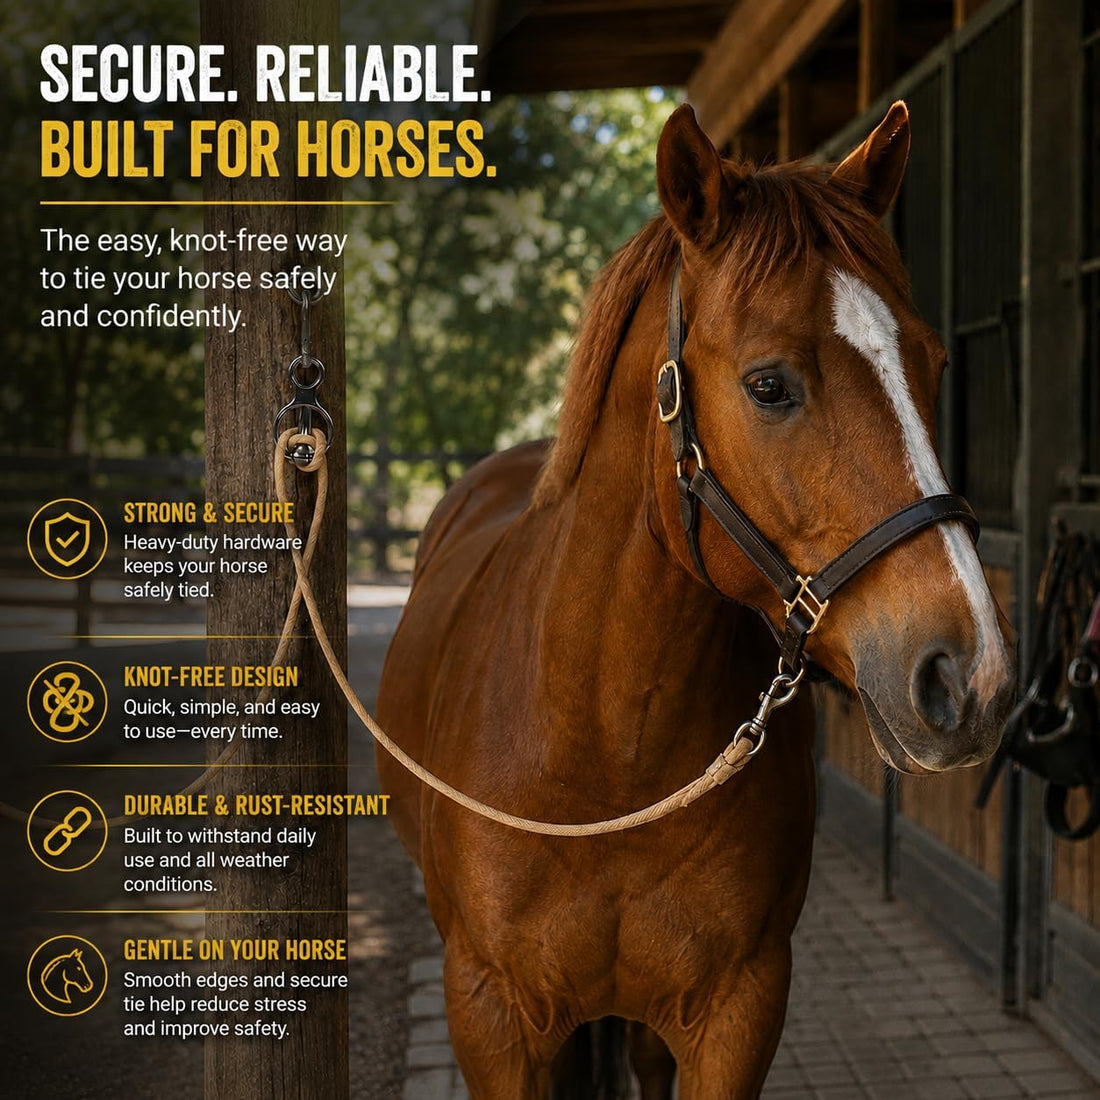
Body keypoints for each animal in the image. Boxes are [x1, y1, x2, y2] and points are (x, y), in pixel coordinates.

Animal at [376, 100, 1015, 1099]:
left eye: (935, 362)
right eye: (768, 385)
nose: (969, 678)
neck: (603, 763)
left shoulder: (736, 1010)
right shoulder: (490, 1018)